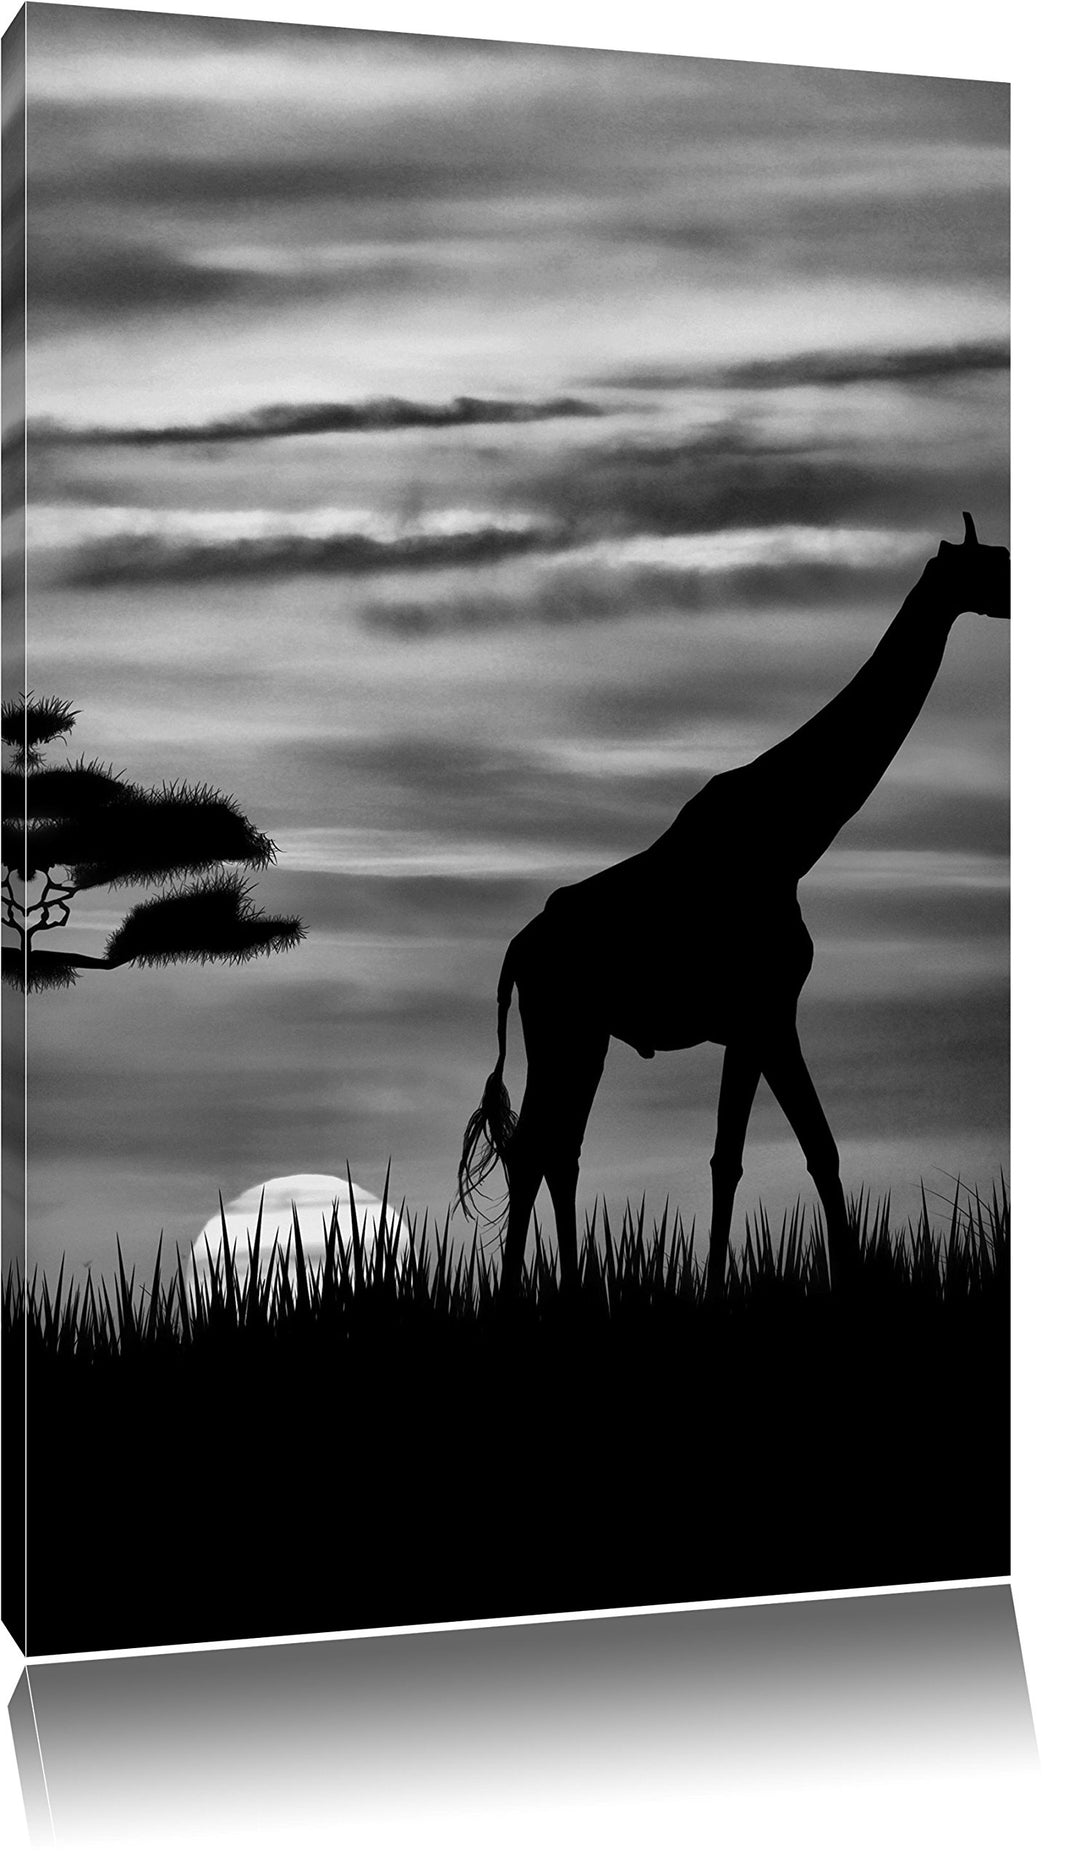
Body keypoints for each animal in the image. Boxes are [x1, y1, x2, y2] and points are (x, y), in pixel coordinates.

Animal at [457, 515, 1009, 1297]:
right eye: (996, 563)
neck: (793, 839)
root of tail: (515, 953)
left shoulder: (758, 1021)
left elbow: (771, 1155)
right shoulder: (766, 1012)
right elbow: (781, 1155)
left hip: (580, 1036)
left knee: (557, 1150)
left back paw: (570, 1284)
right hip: (565, 1029)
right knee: (536, 1150)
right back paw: (520, 1292)